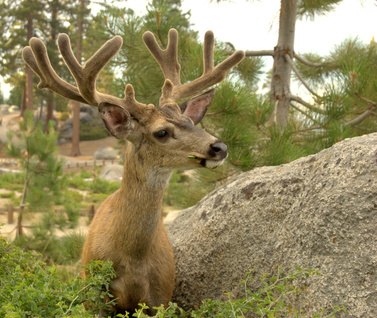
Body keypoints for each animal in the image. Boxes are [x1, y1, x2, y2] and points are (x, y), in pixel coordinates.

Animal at [22, 28, 244, 314]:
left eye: (191, 121)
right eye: (161, 132)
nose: (219, 146)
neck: (132, 259)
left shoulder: (160, 296)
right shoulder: (95, 296)